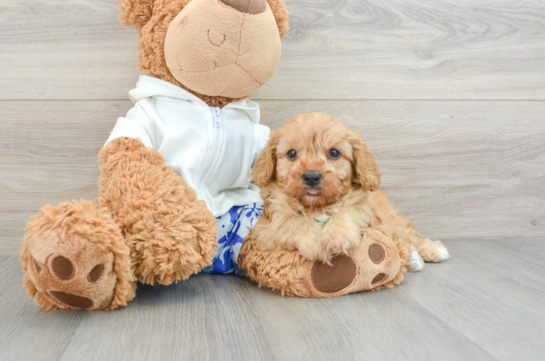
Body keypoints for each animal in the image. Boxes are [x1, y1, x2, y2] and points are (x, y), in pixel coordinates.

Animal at [249, 111, 448, 268]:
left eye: (334, 153)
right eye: (291, 153)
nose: (312, 176)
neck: (318, 207)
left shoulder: (364, 209)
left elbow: (347, 212)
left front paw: (337, 237)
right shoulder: (266, 228)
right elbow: (294, 222)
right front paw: (317, 243)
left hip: (391, 218)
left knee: (409, 234)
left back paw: (430, 250)